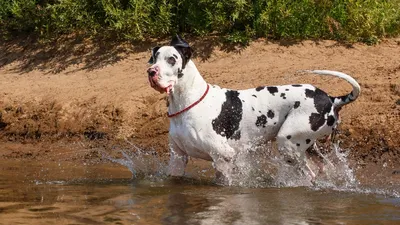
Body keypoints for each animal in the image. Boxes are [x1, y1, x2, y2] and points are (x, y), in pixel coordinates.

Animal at [146, 34, 360, 184]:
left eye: (172, 59)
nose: (151, 72)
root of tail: (330, 99)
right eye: (154, 57)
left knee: (309, 175)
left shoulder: (223, 158)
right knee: (325, 168)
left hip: (289, 145)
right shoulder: (177, 159)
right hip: (308, 148)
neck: (187, 103)